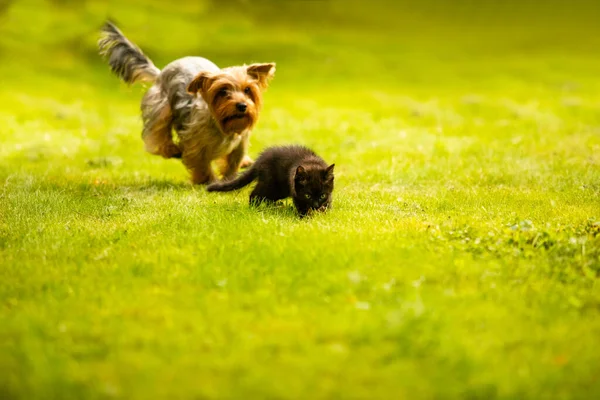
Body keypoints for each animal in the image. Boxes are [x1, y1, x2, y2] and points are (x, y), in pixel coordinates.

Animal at [207, 145, 336, 217]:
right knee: (255, 194)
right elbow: (302, 207)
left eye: (322, 195)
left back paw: (275, 206)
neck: (310, 162)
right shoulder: (297, 194)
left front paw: (325, 214)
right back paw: (255, 209)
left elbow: (328, 203)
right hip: (271, 185)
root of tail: (259, 161)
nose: (316, 206)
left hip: (279, 190)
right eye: (307, 195)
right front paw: (305, 218)